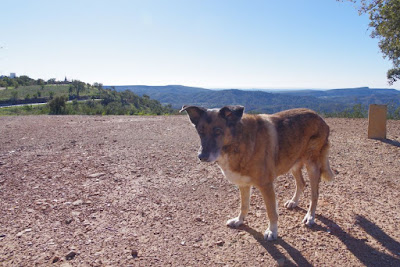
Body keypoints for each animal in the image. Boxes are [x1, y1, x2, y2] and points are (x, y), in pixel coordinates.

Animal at [181, 105, 334, 242]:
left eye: (218, 131)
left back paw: (310, 216)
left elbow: (271, 212)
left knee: (314, 194)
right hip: (293, 162)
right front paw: (239, 220)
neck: (238, 142)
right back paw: (293, 202)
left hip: (312, 165)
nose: (201, 156)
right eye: (200, 132)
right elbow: (244, 205)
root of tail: (319, 117)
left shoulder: (266, 186)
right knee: (301, 183)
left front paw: (272, 231)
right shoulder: (243, 184)